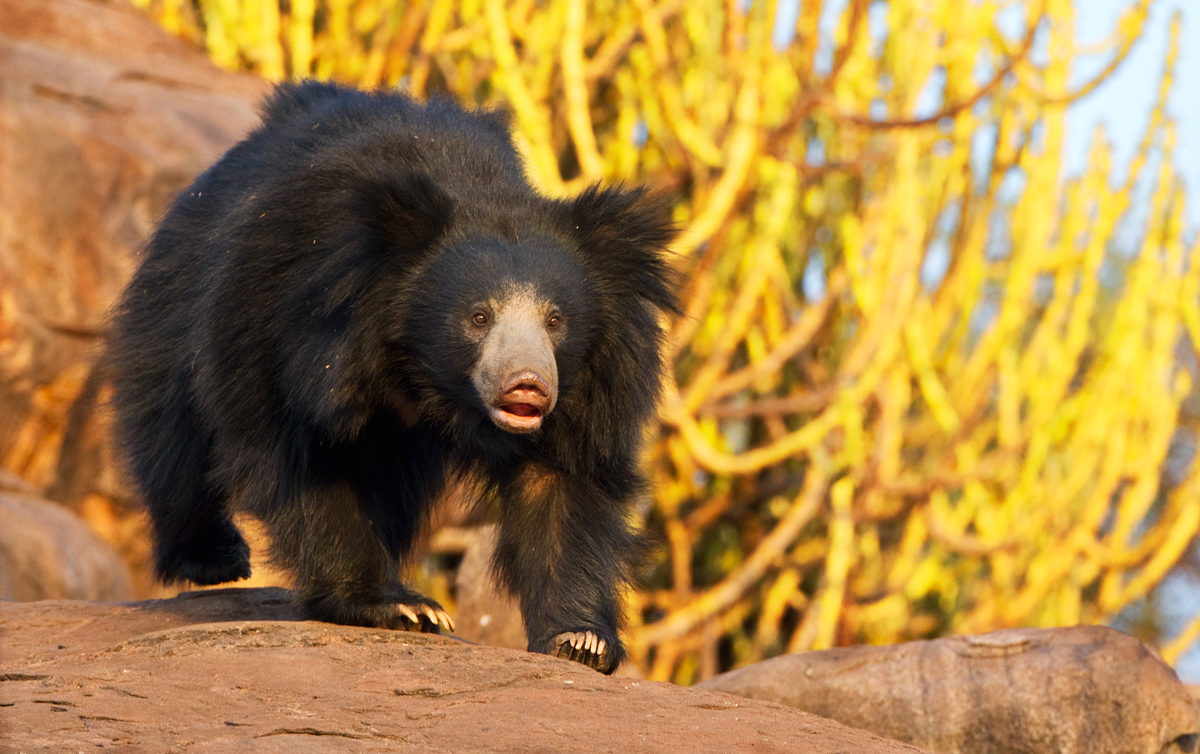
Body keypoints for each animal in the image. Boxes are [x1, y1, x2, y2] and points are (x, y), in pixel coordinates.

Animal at [106, 81, 678, 674]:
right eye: (478, 317)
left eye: (555, 320)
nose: (528, 386)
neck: (424, 372)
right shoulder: (296, 332)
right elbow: (309, 456)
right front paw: (400, 607)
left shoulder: (595, 380)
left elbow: (562, 479)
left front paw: (581, 639)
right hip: (180, 296)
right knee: (174, 437)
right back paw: (211, 557)